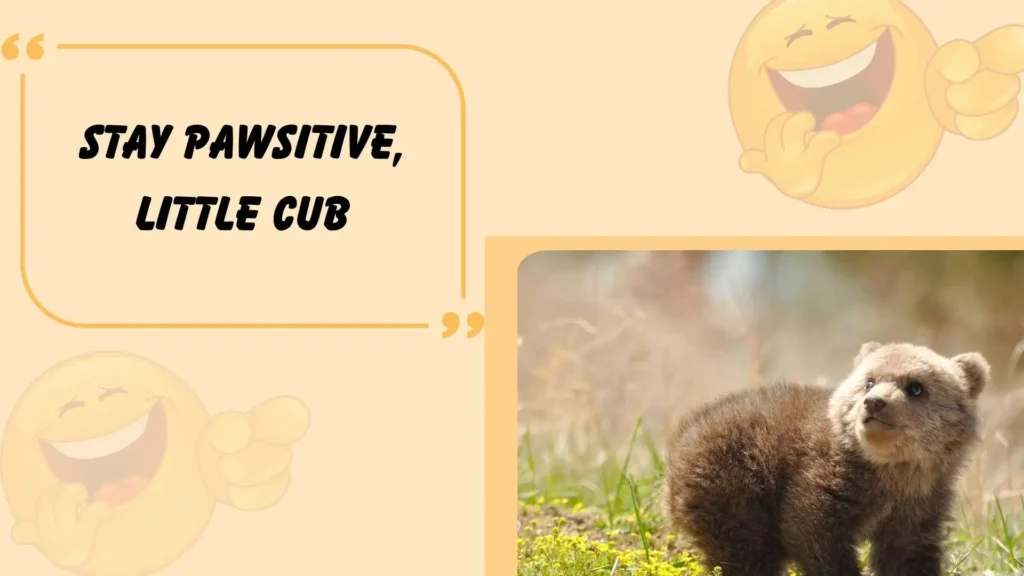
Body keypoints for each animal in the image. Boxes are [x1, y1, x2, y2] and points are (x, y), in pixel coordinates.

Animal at [663, 342, 990, 576]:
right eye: (869, 381)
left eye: (916, 386)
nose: (875, 403)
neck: (892, 472)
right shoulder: (825, 478)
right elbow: (812, 530)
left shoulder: (920, 504)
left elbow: (908, 553)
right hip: (737, 486)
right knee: (747, 554)